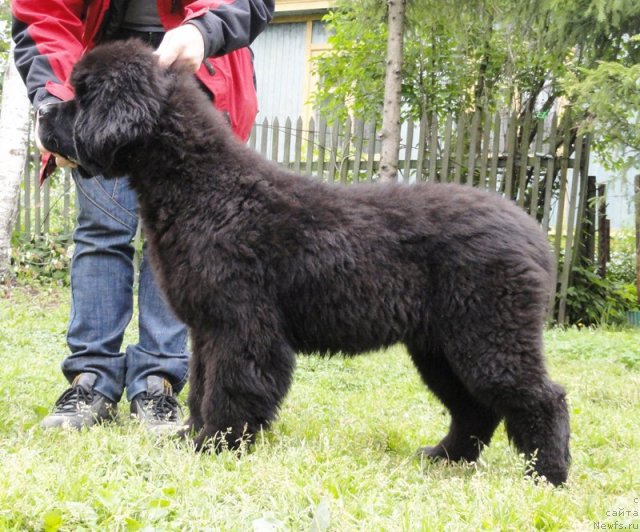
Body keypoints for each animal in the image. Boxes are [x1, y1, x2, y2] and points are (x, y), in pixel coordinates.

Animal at [38, 39, 568, 484]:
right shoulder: (207, 329)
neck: (204, 188)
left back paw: (548, 475)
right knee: (475, 408)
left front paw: (217, 444)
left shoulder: (240, 324)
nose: (42, 109)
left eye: (83, 95)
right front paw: (192, 436)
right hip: (440, 347)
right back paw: (444, 456)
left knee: (543, 398)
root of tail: (535, 235)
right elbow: (201, 387)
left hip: (489, 335)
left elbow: (230, 389)